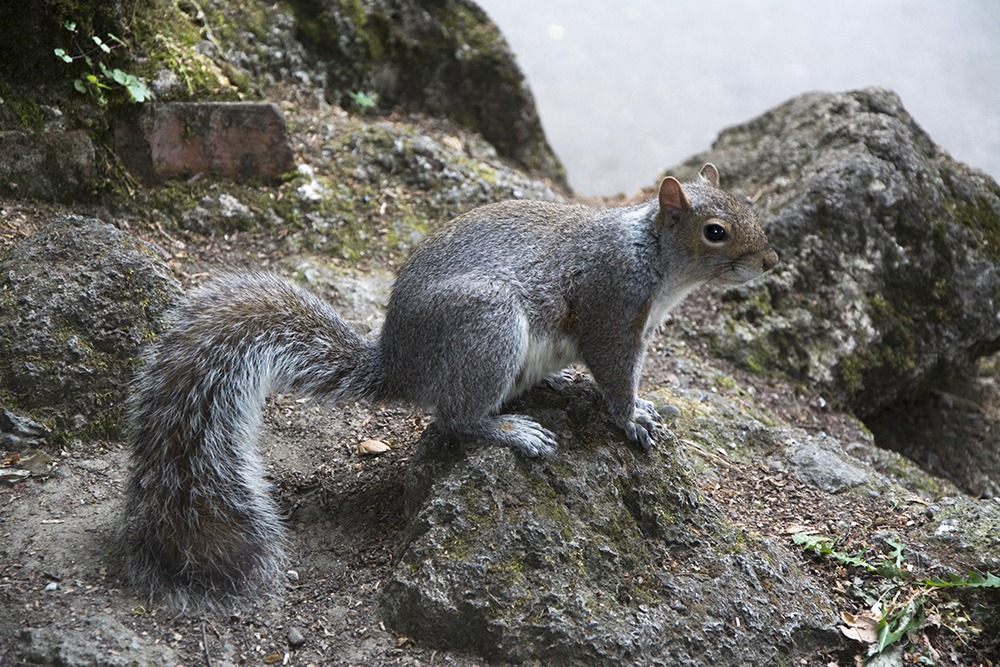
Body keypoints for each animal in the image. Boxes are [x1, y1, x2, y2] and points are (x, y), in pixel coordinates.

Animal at [119, 163, 778, 608]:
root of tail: (400, 363)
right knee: (455, 418)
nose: (769, 263)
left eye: (750, 204)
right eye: (715, 231)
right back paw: (511, 430)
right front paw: (633, 416)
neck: (653, 259)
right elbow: (615, 374)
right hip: (487, 328)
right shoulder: (611, 312)